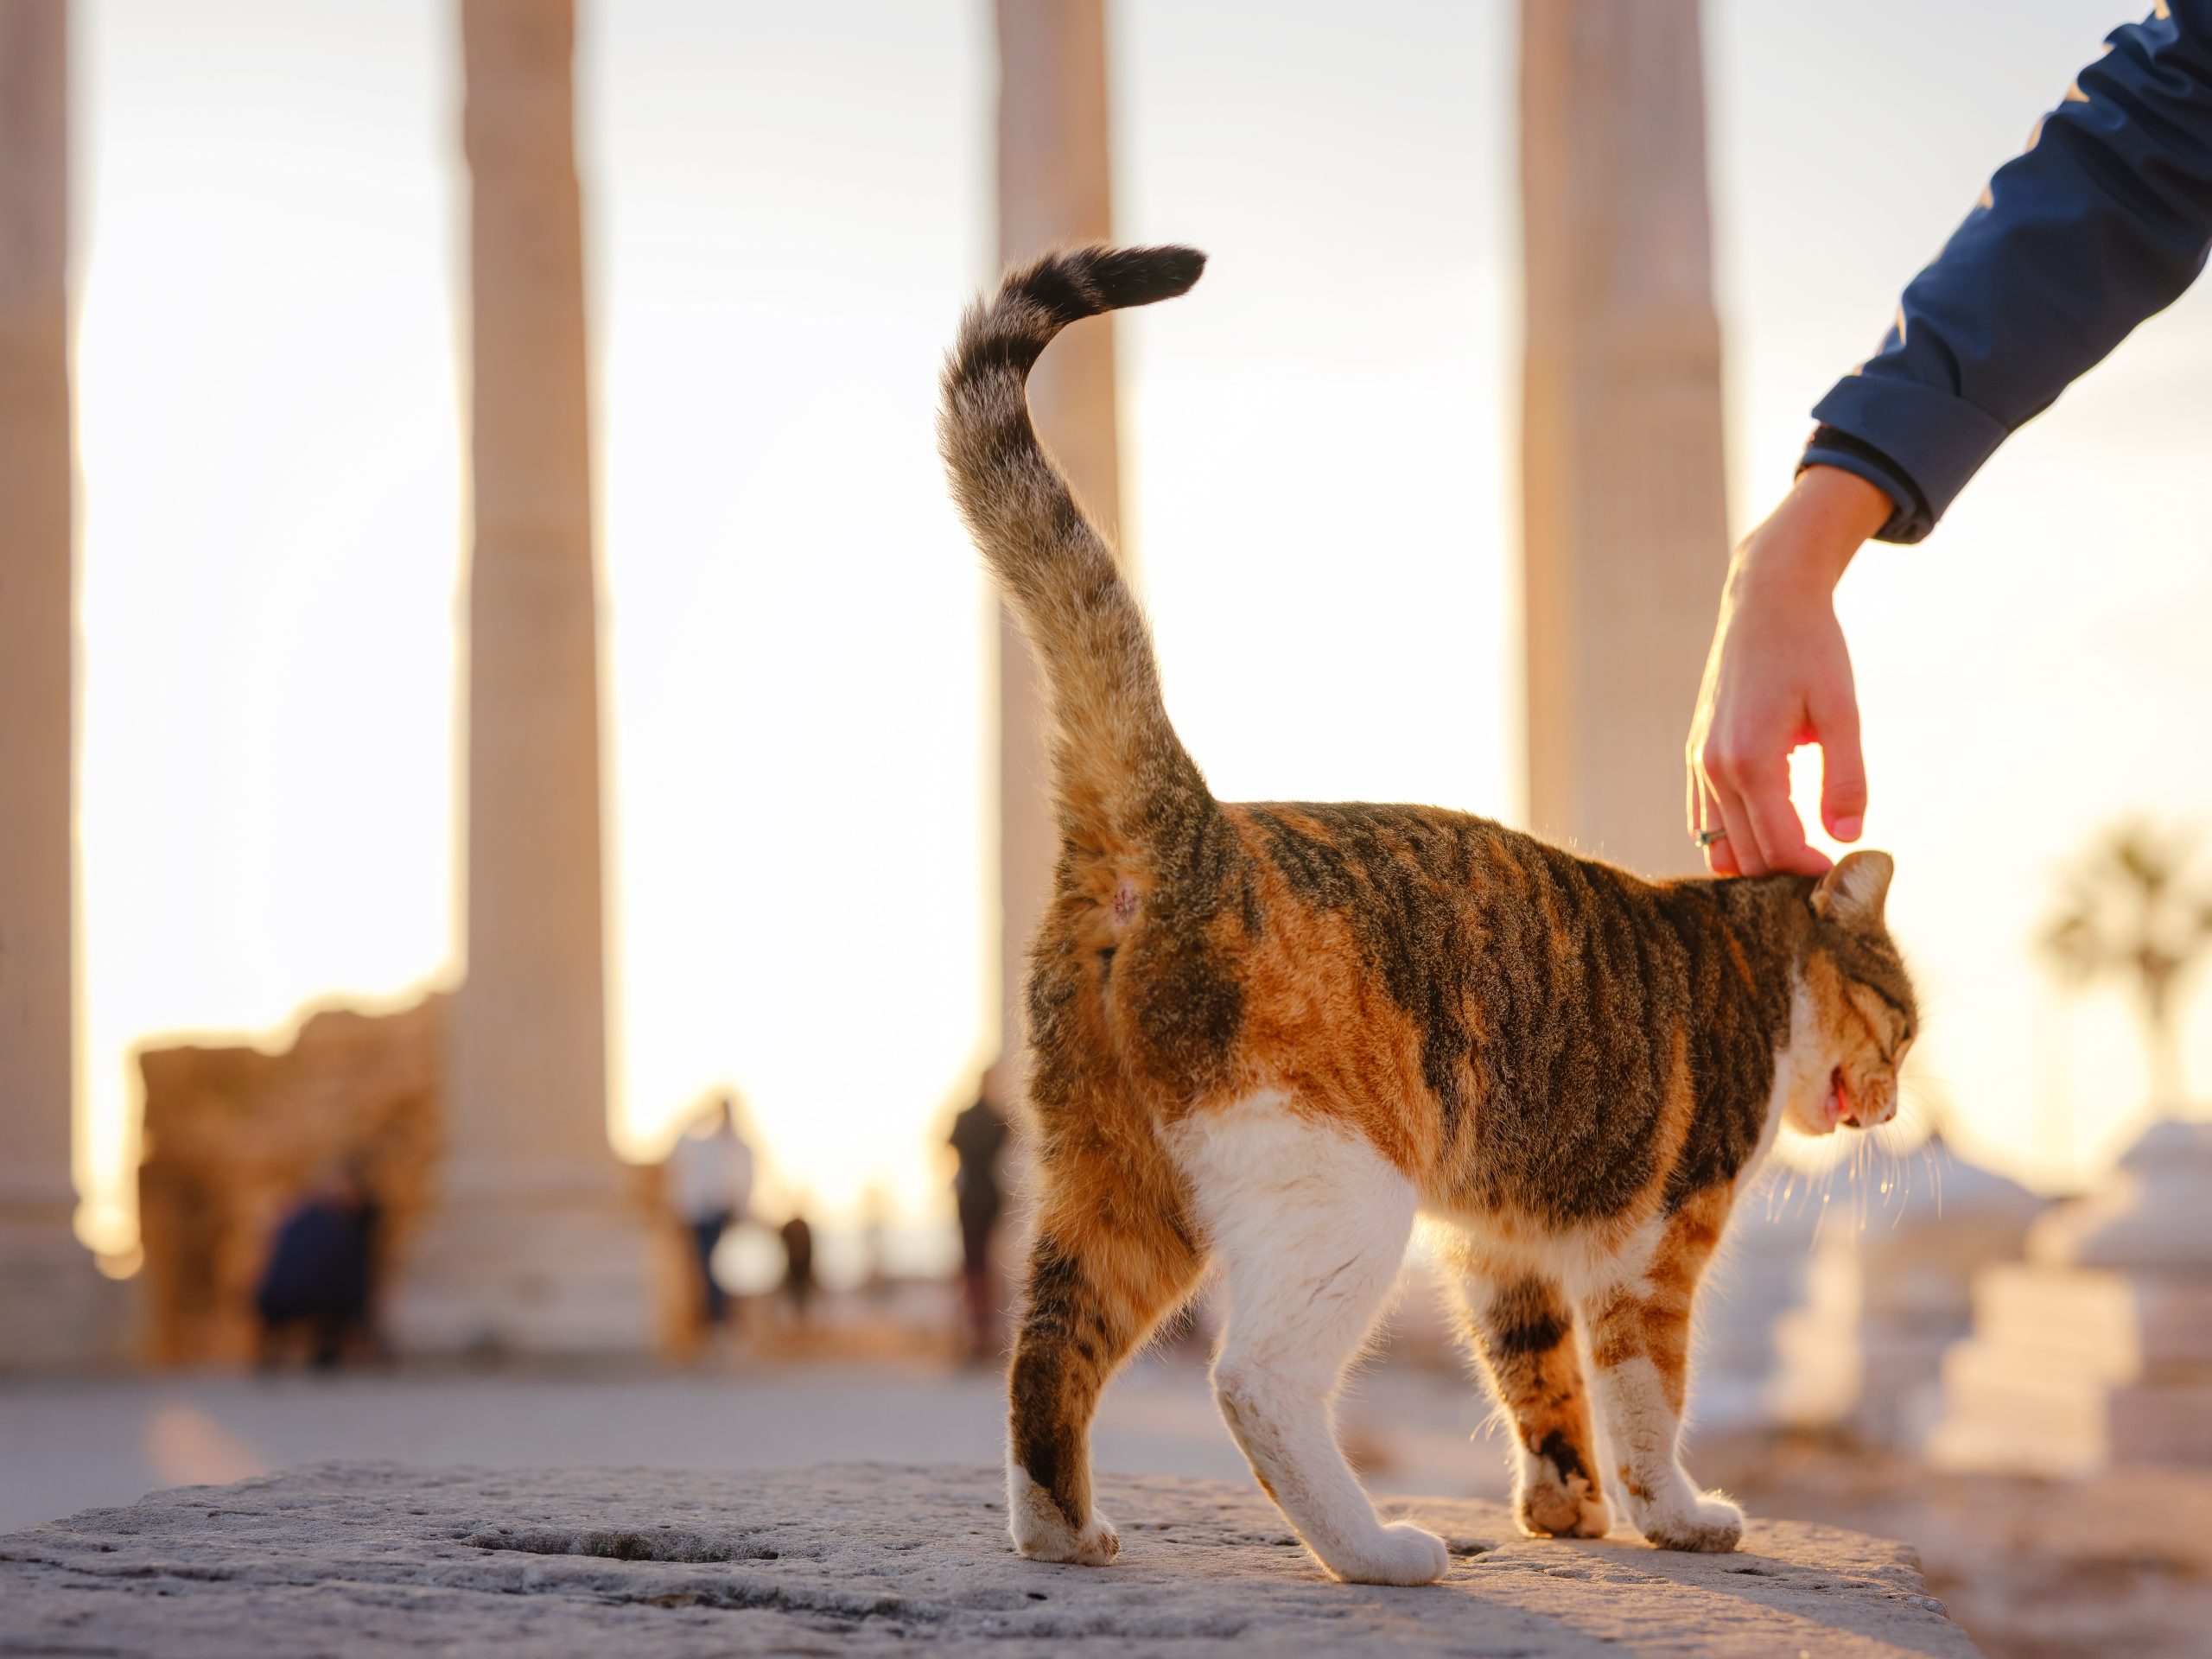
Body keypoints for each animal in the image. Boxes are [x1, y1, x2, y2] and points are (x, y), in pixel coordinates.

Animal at [933, 243, 1920, 1583]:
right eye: (1905, 1027)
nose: (1895, 1105)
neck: (1750, 962)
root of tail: (1189, 825)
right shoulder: (1652, 1251)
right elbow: (1646, 1399)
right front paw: (1676, 1517)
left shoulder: (1501, 1245)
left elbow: (1537, 1377)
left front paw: (1566, 1512)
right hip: (1342, 1190)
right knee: (1255, 1380)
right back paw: (1374, 1549)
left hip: (1116, 1179)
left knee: (1046, 1347)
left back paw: (1065, 1534)